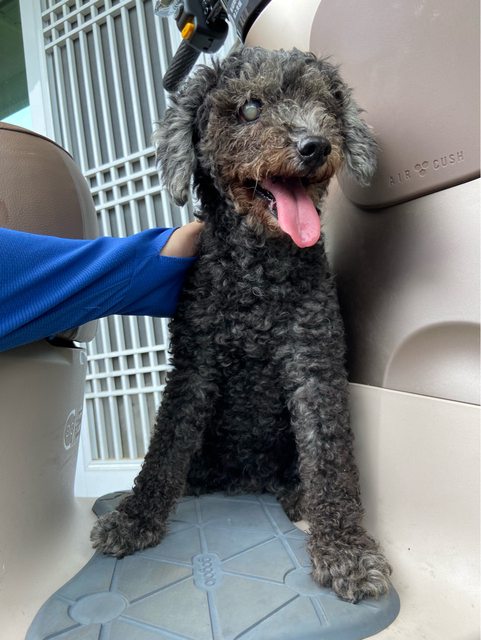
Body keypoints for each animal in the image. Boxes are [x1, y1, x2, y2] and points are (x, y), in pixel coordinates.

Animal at [91, 47, 392, 603]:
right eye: (250, 108)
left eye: (324, 104)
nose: (315, 145)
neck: (257, 275)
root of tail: (247, 479)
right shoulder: (194, 364)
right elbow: (165, 445)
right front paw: (135, 518)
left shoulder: (313, 361)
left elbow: (330, 453)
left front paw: (345, 550)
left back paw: (300, 496)